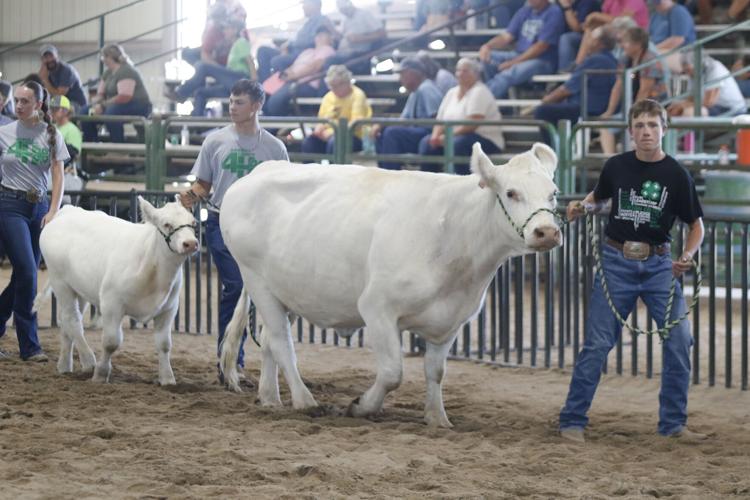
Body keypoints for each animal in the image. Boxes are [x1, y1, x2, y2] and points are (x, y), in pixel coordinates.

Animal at [37, 195, 198, 385]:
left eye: (193, 222)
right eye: (167, 224)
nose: (190, 244)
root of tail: (66, 211)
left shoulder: (169, 308)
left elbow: (164, 344)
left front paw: (167, 378)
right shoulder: (111, 303)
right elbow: (111, 342)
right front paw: (101, 374)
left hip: (79, 288)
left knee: (66, 322)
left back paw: (64, 365)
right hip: (60, 281)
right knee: (72, 320)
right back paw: (88, 361)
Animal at [218, 143, 562, 427]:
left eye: (554, 193)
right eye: (511, 193)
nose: (546, 232)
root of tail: (261, 170)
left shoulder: (451, 320)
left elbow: (436, 371)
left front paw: (438, 418)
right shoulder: (377, 308)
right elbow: (392, 372)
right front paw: (361, 406)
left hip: (288, 290)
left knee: (269, 340)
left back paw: (270, 398)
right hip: (257, 280)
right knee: (280, 342)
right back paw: (305, 401)